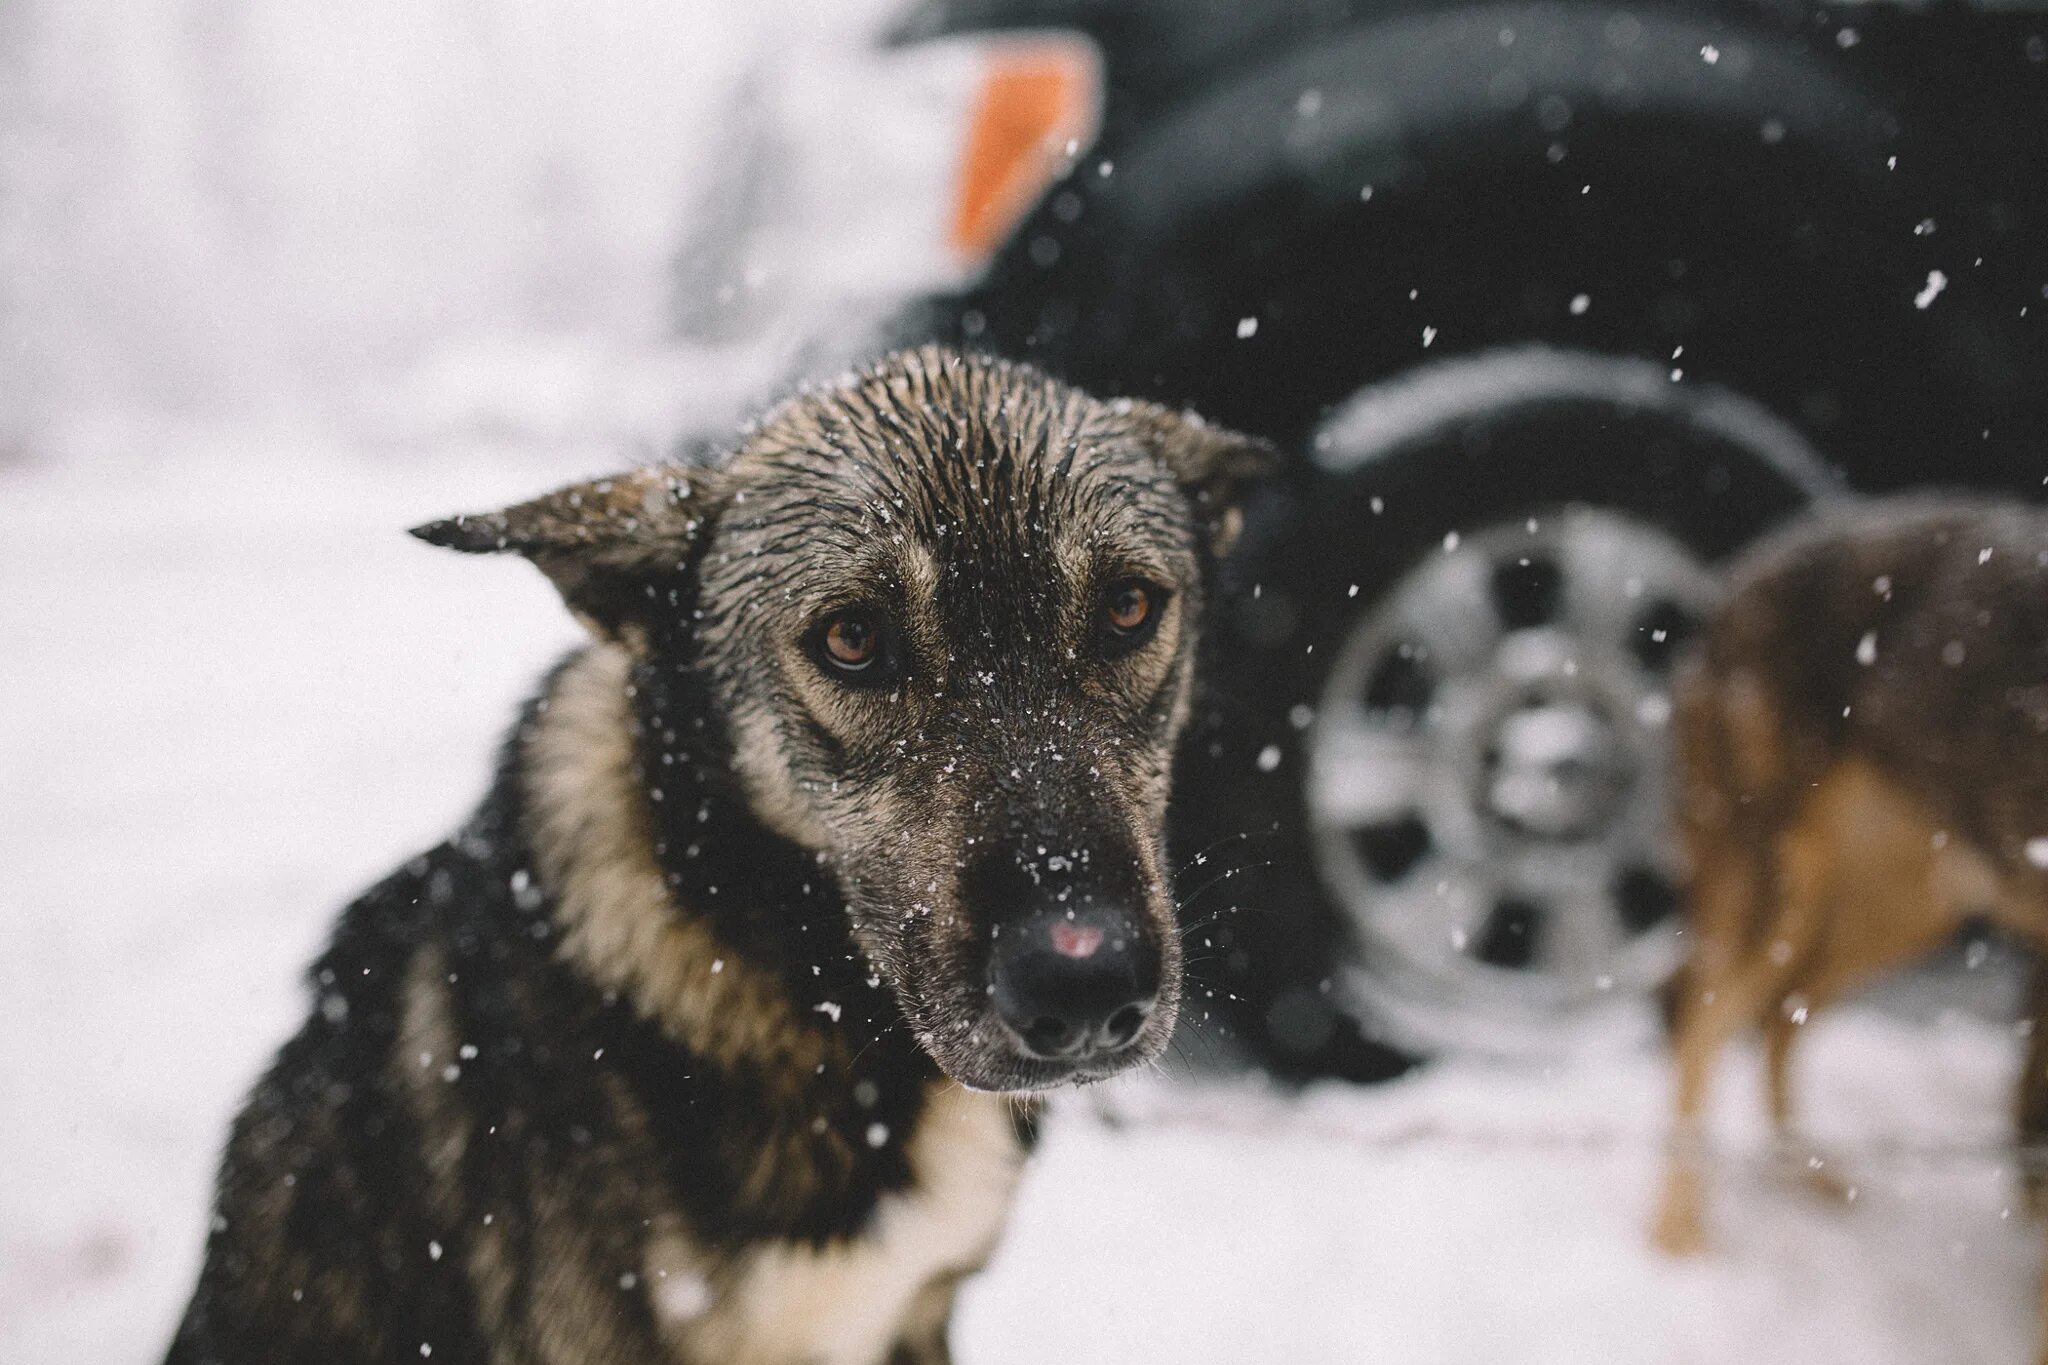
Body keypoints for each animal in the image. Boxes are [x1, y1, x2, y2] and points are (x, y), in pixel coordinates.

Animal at [1654, 489, 2048, 1334]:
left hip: (1905, 907)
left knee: (1781, 1015)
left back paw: (1800, 1173)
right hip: (1776, 891)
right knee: (1697, 1018)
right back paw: (1675, 1236)